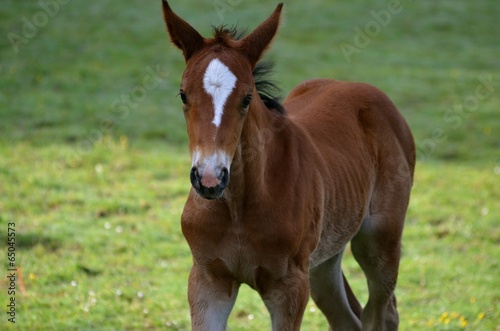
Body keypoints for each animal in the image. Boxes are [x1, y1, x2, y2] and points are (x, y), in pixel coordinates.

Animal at [162, 1, 416, 330]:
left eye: (246, 98)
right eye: (183, 94)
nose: (209, 178)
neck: (239, 206)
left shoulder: (289, 288)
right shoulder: (208, 281)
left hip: (379, 242)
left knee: (381, 313)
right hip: (323, 260)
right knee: (346, 316)